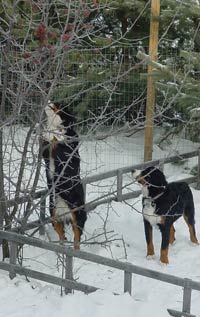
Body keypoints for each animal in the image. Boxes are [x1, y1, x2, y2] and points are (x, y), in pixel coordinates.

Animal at [41, 100, 86, 248]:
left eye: (58, 103)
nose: (48, 100)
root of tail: (64, 212)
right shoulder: (45, 152)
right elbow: (45, 141)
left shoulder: (66, 149)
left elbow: (57, 138)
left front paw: (56, 134)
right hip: (53, 215)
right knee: (61, 234)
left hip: (78, 215)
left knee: (77, 237)